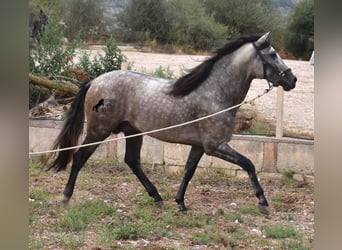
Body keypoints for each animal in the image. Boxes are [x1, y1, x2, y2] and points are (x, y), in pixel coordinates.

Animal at [48, 32, 296, 215]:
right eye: (273, 54)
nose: (292, 80)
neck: (216, 93)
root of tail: (94, 81)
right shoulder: (216, 146)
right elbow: (249, 165)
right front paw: (263, 203)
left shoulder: (199, 147)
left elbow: (188, 171)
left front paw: (180, 203)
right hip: (99, 130)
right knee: (79, 157)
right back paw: (66, 196)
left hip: (133, 132)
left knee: (132, 161)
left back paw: (157, 197)